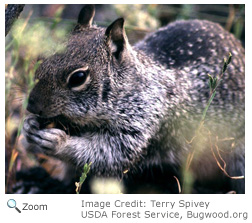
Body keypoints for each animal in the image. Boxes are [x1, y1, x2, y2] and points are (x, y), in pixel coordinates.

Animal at [23, 5, 244, 193]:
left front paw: (58, 141)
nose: (31, 105)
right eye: (43, 58)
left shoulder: (141, 126)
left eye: (78, 77)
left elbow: (109, 156)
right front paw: (28, 127)